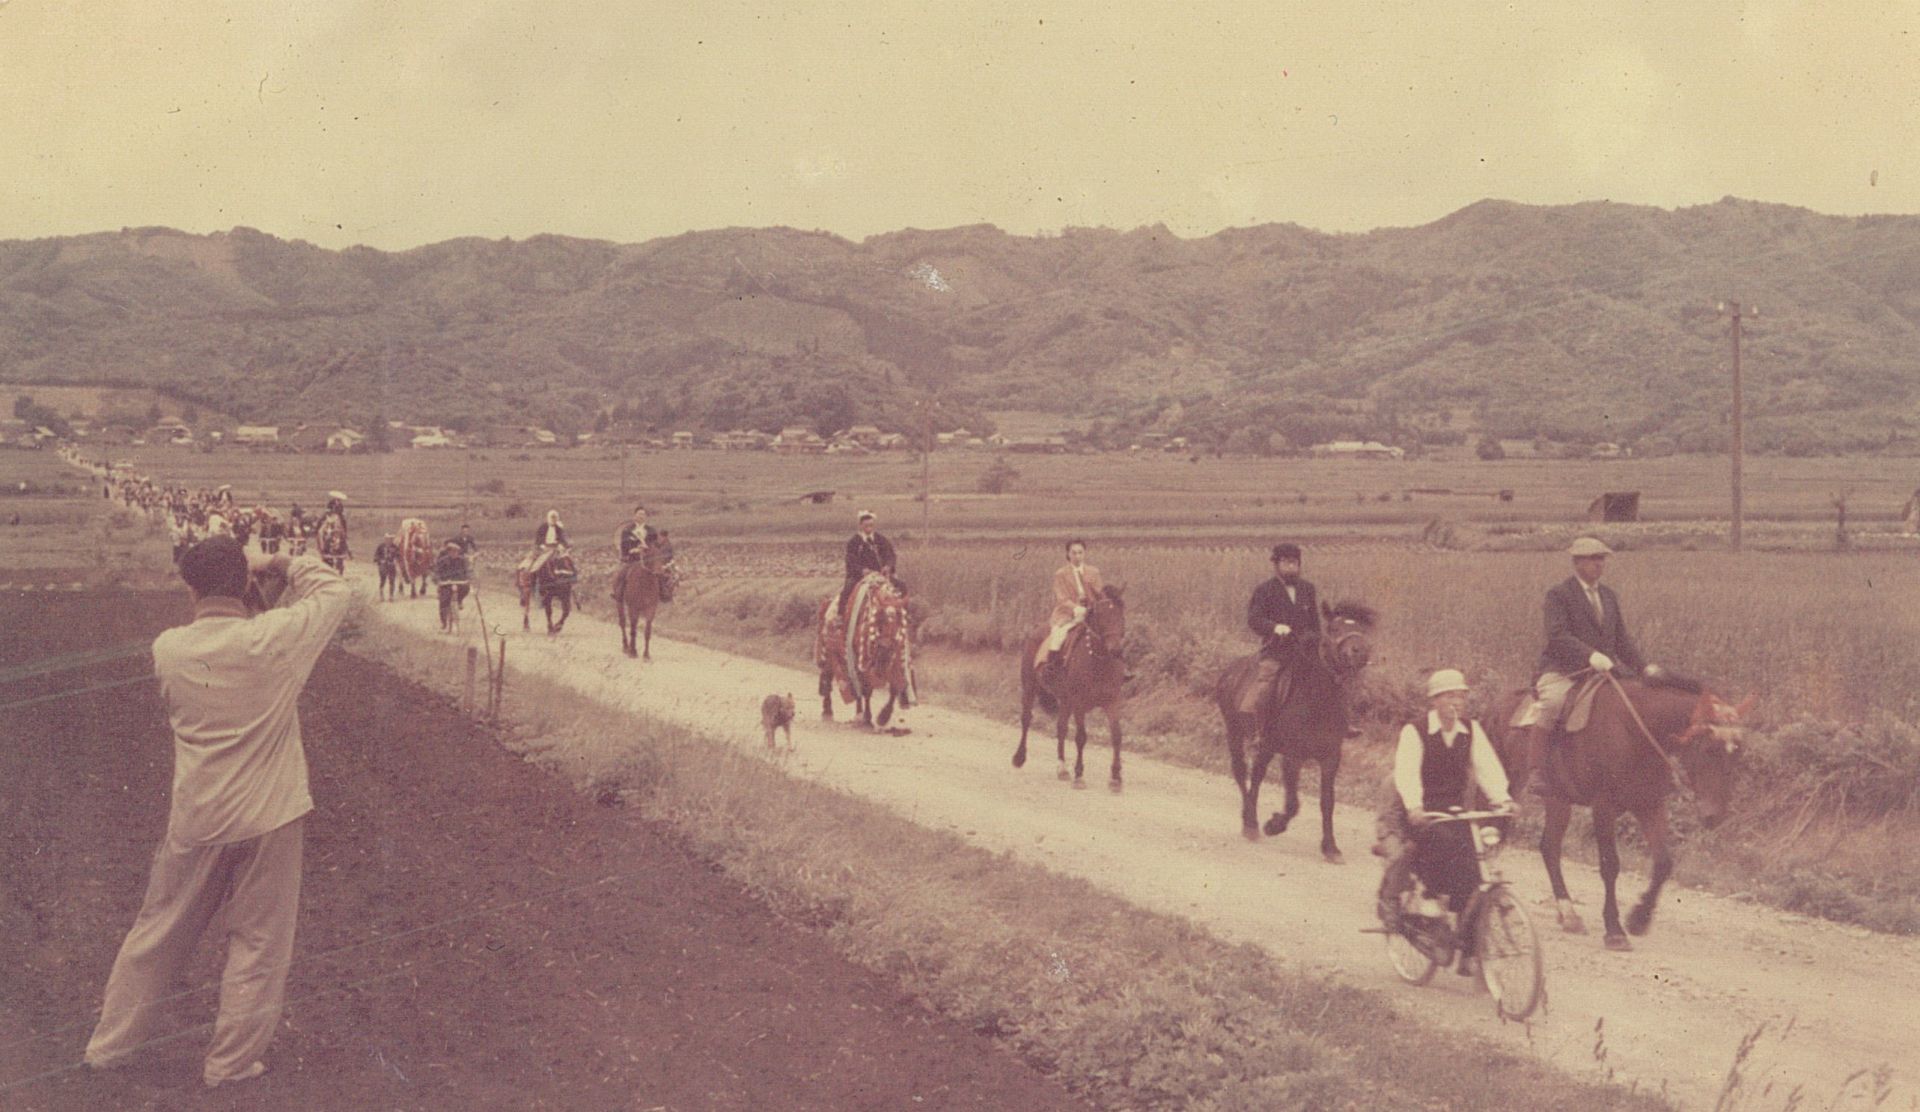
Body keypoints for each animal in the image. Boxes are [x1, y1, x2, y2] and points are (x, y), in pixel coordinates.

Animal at [814, 576, 917, 729]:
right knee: (828, 678)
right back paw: (829, 711)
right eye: (880, 616)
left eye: (899, 618)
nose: (885, 646)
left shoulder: (895, 659)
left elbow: (895, 686)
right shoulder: (859, 661)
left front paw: (883, 716)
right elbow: (866, 690)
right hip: (829, 653)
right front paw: (867, 717)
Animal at [1006, 587, 1121, 787]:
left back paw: (1062, 768)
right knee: (1027, 719)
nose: (1115, 649)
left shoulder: (1112, 702)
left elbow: (1116, 736)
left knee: (1061, 728)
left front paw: (1116, 778)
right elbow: (1081, 737)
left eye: (1121, 613)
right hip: (1030, 687)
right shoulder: (1079, 704)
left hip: (1065, 701)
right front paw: (1079, 774)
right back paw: (1019, 757)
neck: (1099, 661)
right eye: (1101, 615)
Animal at [1205, 603, 1374, 864]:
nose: (1360, 652)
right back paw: (1251, 823)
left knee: (1257, 775)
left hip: (1266, 746)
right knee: (1241, 772)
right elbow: (1293, 803)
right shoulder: (1293, 757)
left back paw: (1250, 820)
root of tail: (1230, 670)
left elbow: (1327, 802)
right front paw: (1274, 825)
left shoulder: (1330, 758)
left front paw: (1331, 848)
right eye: (1334, 629)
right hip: (1234, 732)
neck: (1318, 700)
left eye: (1363, 630)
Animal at [1482, 676, 1758, 952]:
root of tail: (1497, 705)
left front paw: (1639, 918)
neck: (1636, 732)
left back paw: (1567, 914)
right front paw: (1615, 930)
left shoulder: (1650, 806)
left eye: (1738, 752)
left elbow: (1663, 863)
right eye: (1709, 749)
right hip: (1509, 784)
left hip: (1558, 800)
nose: (1715, 815)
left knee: (1548, 847)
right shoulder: (1603, 808)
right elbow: (1610, 866)